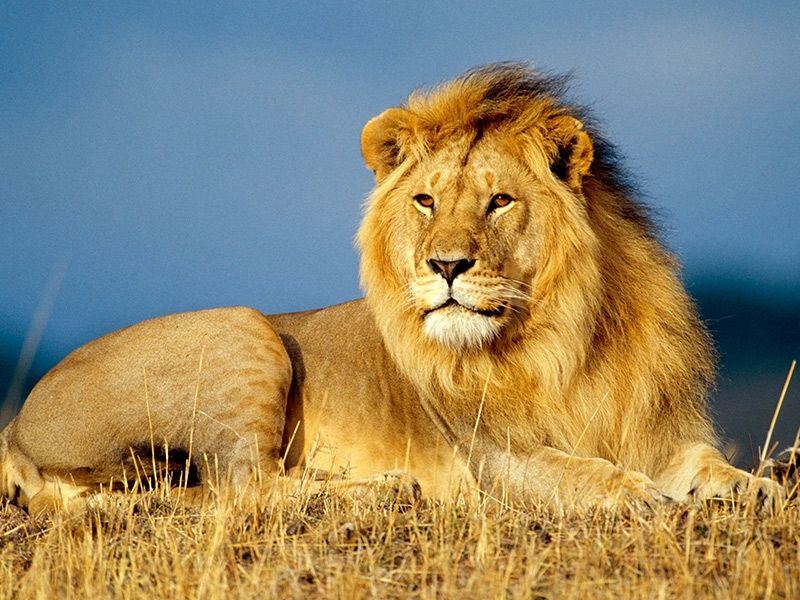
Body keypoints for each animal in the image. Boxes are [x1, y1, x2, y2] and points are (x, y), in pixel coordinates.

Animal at [0, 63, 787, 514]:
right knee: (241, 488)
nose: (446, 266)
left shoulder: (658, 427)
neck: (566, 338)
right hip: (243, 329)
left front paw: (755, 487)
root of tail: (17, 421)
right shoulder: (493, 458)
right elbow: (579, 474)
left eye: (500, 201)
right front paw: (636, 494)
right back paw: (383, 490)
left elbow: (707, 463)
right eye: (426, 202)